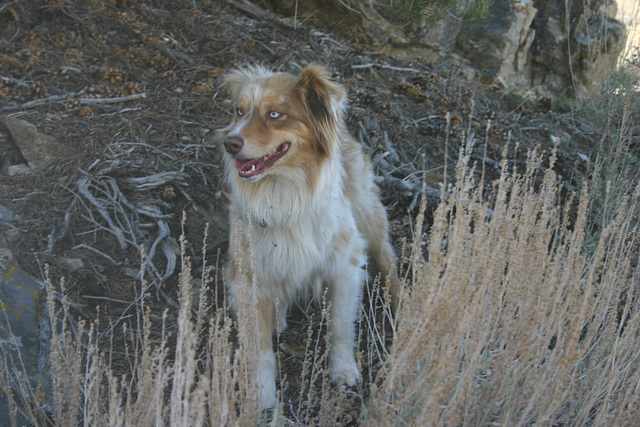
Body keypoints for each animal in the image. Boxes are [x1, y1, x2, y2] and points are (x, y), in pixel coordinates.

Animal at [220, 62, 400, 408]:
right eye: (239, 111)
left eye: (274, 114)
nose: (229, 143)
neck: (285, 194)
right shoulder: (248, 276)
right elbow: (260, 348)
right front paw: (263, 393)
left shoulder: (345, 263)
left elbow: (341, 325)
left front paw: (343, 370)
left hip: (369, 216)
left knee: (388, 260)